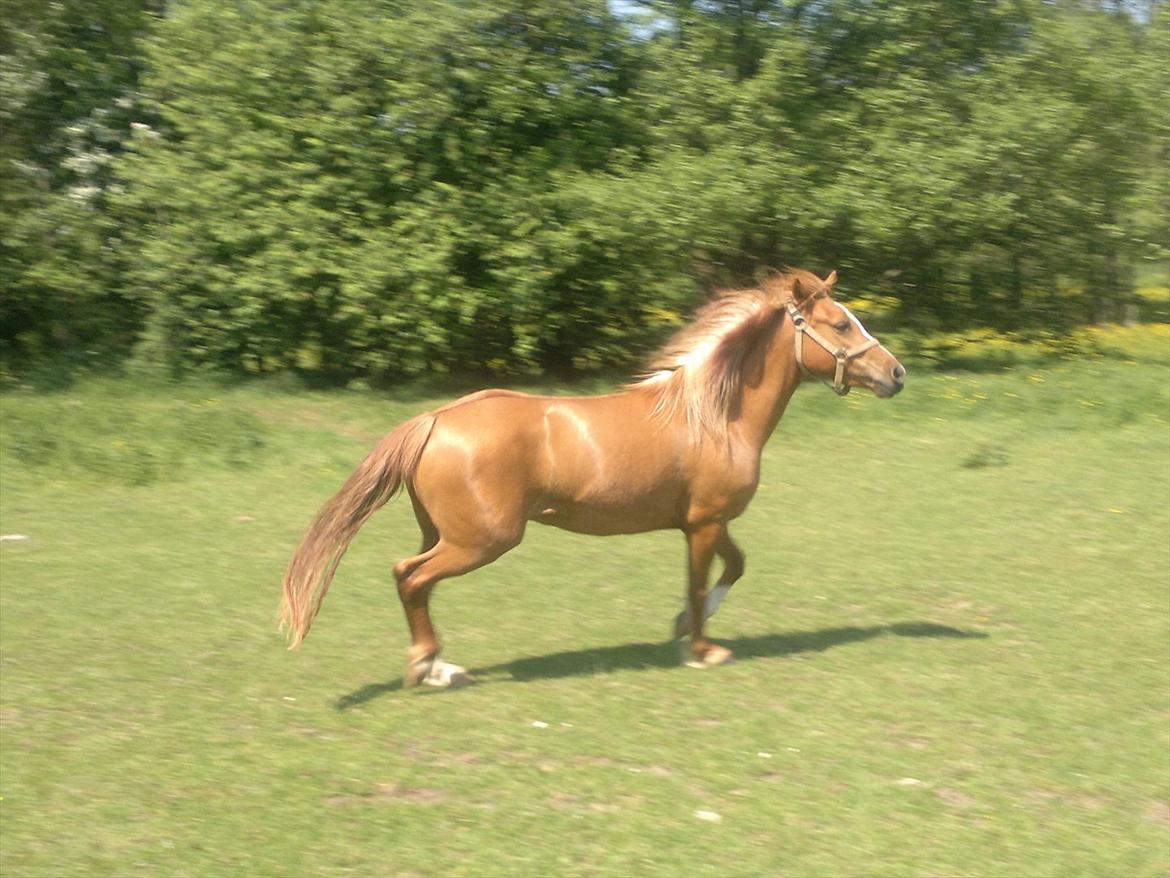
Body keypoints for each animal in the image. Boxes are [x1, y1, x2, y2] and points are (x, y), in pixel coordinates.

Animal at [283, 268, 903, 688]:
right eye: (840, 323)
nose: (896, 373)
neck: (716, 415)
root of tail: (435, 419)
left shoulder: (705, 521)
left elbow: (734, 567)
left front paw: (683, 627)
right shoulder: (704, 523)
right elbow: (701, 582)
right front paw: (702, 649)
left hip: (442, 533)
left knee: (416, 582)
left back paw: (437, 664)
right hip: (481, 540)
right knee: (410, 577)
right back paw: (429, 667)